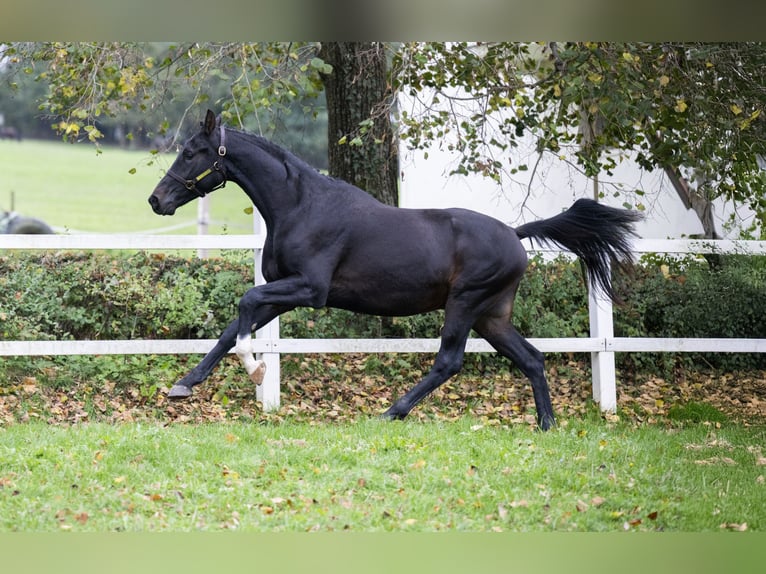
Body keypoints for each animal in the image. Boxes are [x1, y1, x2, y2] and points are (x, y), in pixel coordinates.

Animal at [150, 110, 640, 430]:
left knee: (449, 361)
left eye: (193, 152)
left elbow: (245, 306)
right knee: (532, 359)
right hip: (491, 316)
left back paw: (391, 411)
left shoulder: (309, 290)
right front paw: (184, 386)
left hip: (465, 304)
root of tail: (515, 235)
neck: (301, 205)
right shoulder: (284, 291)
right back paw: (546, 425)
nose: (157, 200)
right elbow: (233, 328)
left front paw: (255, 370)